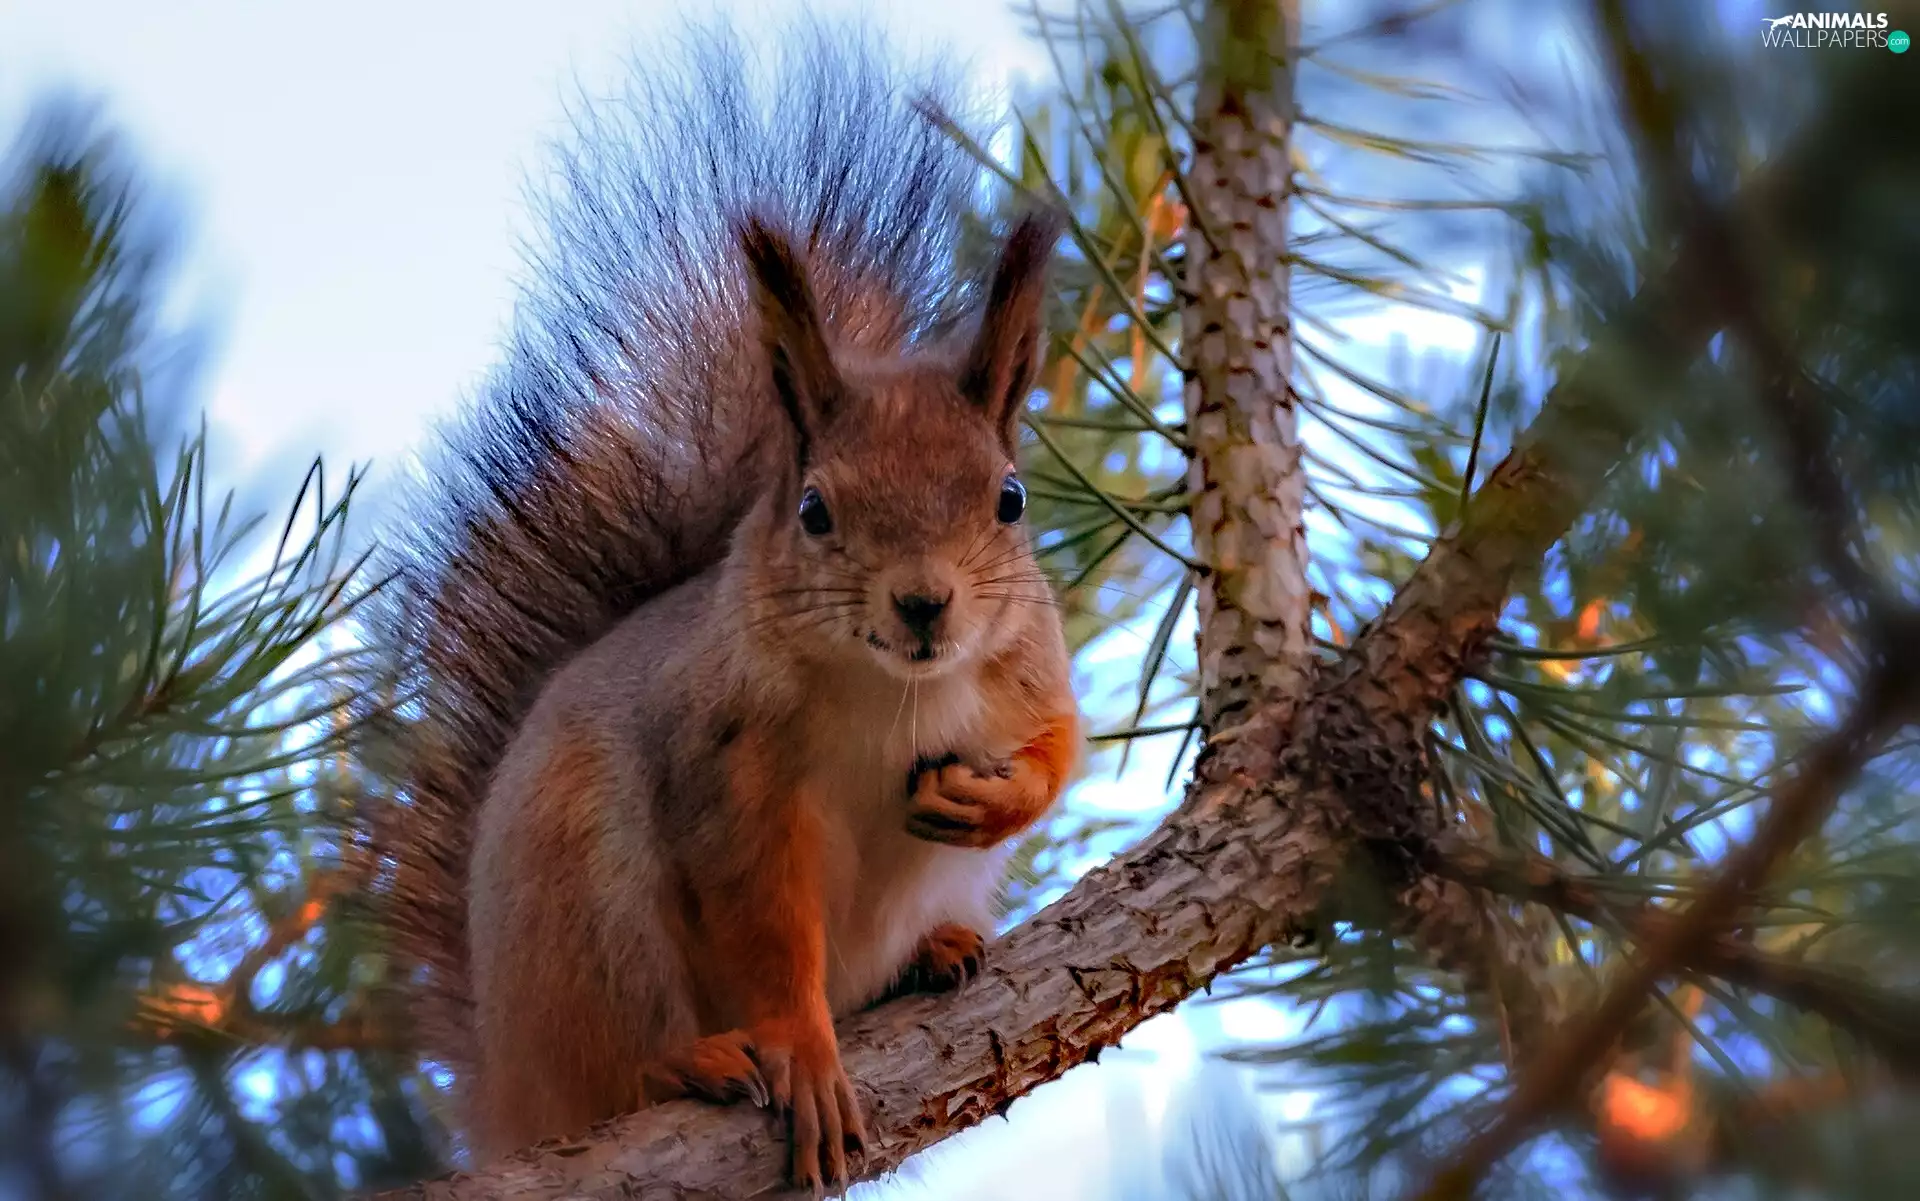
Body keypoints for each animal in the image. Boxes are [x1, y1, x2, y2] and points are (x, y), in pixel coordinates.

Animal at [359, 23, 1080, 1190]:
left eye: (1009, 499)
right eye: (816, 508)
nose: (925, 604)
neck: (898, 690)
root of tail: (506, 1088)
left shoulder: (1028, 668)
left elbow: (1062, 746)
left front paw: (993, 798)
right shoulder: (728, 775)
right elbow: (765, 928)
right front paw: (803, 1050)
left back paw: (938, 948)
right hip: (586, 904)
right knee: (616, 1068)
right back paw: (688, 1061)